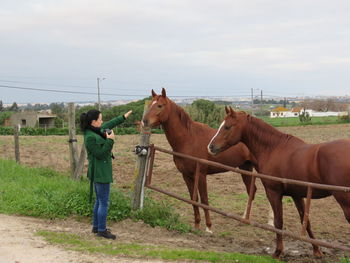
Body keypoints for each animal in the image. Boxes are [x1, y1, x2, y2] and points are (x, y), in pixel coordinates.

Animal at [142, 88, 258, 233]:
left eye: (160, 105)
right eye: (150, 104)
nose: (144, 121)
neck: (189, 139)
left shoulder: (201, 175)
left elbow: (204, 200)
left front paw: (208, 227)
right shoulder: (186, 175)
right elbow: (194, 198)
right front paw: (196, 225)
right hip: (245, 167)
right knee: (251, 191)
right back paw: (245, 219)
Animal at [208, 106, 350, 258]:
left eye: (227, 127)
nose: (211, 147)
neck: (273, 148)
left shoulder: (273, 193)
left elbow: (278, 222)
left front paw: (278, 251)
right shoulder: (296, 195)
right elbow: (305, 221)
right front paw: (317, 250)